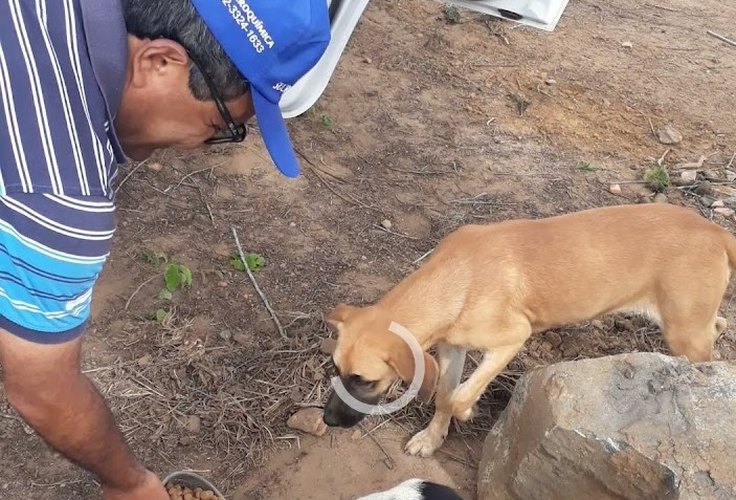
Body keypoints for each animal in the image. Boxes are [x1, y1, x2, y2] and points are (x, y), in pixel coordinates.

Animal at [322, 203, 736, 458]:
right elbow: (443, 395)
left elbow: (458, 397)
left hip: (685, 332)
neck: (459, 276)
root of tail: (713, 229)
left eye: (365, 381)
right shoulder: (451, 348)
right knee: (719, 324)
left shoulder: (511, 338)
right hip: (688, 324)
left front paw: (468, 411)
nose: (327, 420)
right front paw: (431, 438)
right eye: (336, 370)